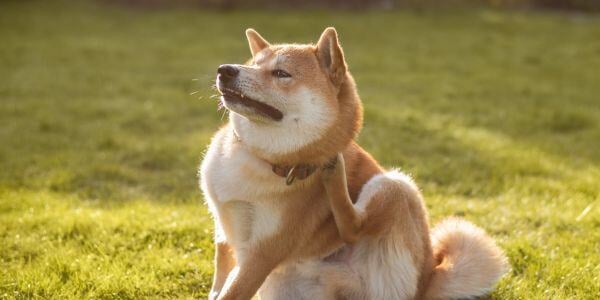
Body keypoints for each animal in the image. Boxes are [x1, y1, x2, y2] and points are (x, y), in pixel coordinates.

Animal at [200, 27, 506, 298]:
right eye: (252, 64)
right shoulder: (223, 231)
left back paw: (335, 174)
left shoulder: (263, 252)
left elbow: (233, 292)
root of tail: (428, 279)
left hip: (396, 185)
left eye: (281, 73)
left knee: (353, 227)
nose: (225, 70)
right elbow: (220, 280)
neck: (257, 157)